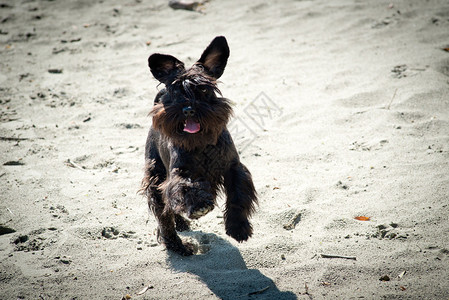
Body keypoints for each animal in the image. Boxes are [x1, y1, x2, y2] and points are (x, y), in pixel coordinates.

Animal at [142, 35, 258, 255]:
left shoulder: (233, 167)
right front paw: (198, 206)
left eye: (204, 88)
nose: (188, 109)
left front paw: (238, 228)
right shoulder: (179, 172)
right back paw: (179, 246)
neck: (201, 143)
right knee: (164, 217)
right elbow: (184, 187)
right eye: (175, 91)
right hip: (155, 176)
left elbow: (238, 195)